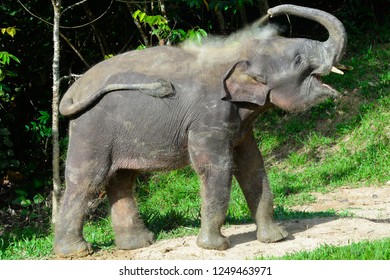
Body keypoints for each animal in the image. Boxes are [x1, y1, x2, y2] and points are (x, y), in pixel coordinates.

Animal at [54, 4, 348, 258]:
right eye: (298, 60)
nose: (270, 11)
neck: (238, 54)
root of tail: (72, 90)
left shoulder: (240, 125)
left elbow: (253, 166)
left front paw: (277, 238)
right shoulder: (209, 117)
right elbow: (216, 167)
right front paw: (215, 246)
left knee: (122, 179)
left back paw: (138, 244)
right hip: (91, 128)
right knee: (87, 179)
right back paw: (77, 252)